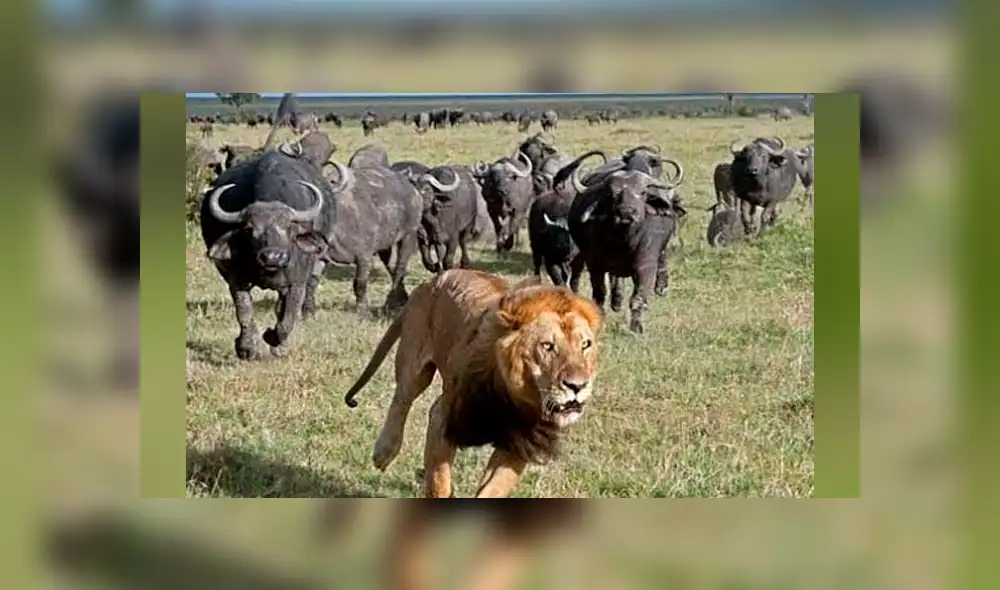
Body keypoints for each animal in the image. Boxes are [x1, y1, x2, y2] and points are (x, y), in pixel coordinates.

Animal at [342, 268, 603, 498]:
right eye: (547, 346)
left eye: (585, 345)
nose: (577, 386)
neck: (511, 398)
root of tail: (431, 280)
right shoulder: (443, 418)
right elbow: (439, 480)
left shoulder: (520, 444)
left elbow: (493, 490)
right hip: (414, 363)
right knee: (401, 399)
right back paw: (384, 451)